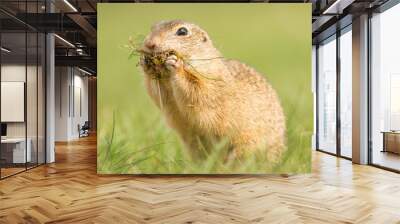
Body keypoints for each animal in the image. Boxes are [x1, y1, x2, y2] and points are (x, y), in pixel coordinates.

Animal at [139, 19, 286, 161]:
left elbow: (196, 91)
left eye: (182, 31)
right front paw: (145, 63)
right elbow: (160, 96)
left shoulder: (212, 81)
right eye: (152, 27)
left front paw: (175, 63)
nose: (150, 44)